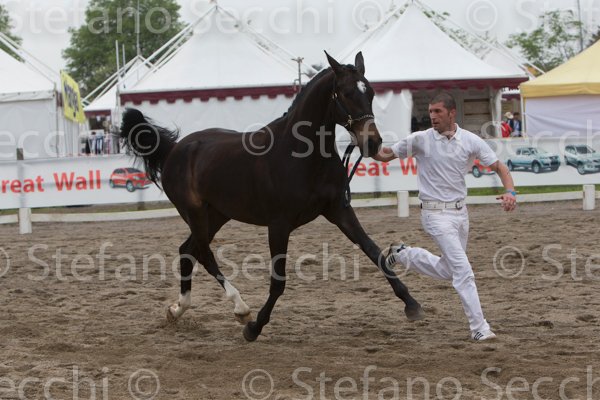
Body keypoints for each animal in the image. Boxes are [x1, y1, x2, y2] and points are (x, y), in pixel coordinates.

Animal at [120, 52, 424, 342]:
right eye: (347, 93)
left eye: (370, 92)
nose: (372, 143)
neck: (302, 155)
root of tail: (174, 149)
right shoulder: (279, 224)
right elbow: (278, 281)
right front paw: (254, 328)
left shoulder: (339, 210)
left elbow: (375, 253)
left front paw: (412, 305)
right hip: (194, 212)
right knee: (203, 254)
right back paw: (240, 308)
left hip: (216, 214)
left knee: (187, 251)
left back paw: (177, 310)